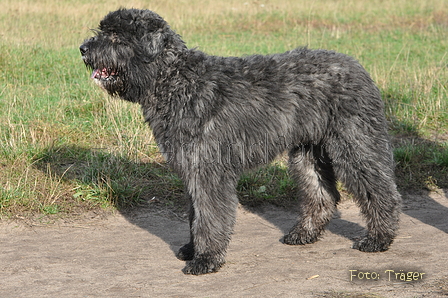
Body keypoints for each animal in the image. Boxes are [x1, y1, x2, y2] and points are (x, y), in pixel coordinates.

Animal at [80, 8, 402, 274]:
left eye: (116, 36)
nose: (83, 49)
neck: (175, 82)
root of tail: (356, 66)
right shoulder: (191, 168)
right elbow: (194, 214)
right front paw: (193, 249)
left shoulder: (207, 170)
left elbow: (209, 215)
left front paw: (205, 259)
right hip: (308, 152)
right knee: (321, 194)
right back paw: (303, 234)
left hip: (354, 144)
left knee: (380, 190)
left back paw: (379, 238)